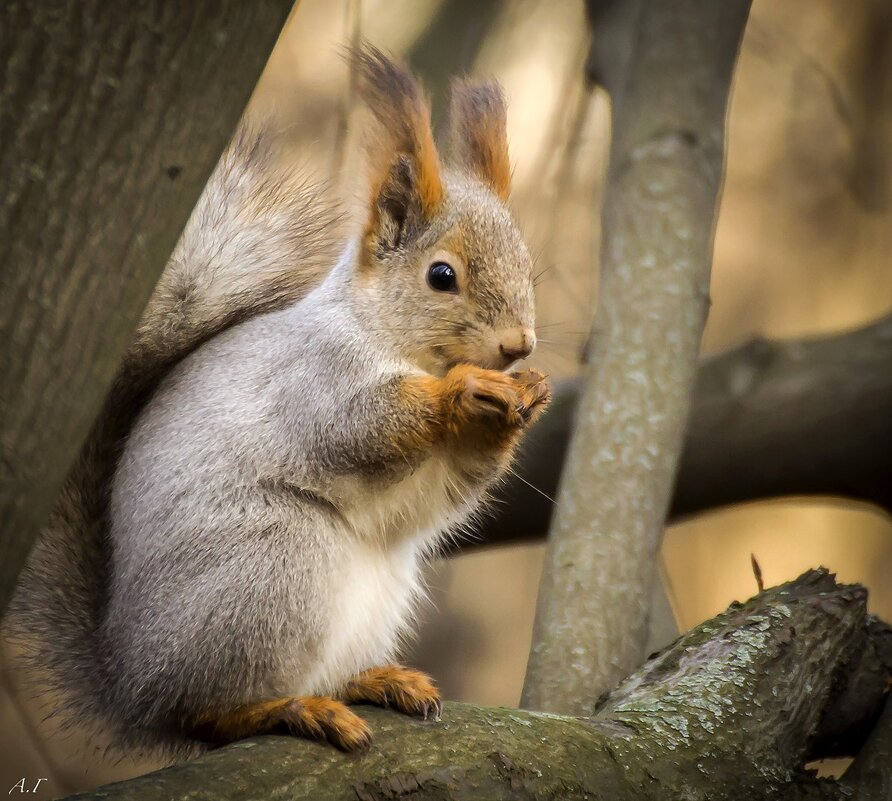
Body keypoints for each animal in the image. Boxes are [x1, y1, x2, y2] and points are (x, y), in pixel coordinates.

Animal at [6, 43, 552, 756]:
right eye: (442, 276)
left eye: (527, 267)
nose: (520, 345)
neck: (385, 336)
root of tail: (129, 682)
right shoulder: (311, 380)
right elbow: (358, 426)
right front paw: (464, 391)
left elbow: (443, 494)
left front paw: (528, 398)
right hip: (273, 567)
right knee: (205, 713)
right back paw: (289, 710)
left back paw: (373, 681)